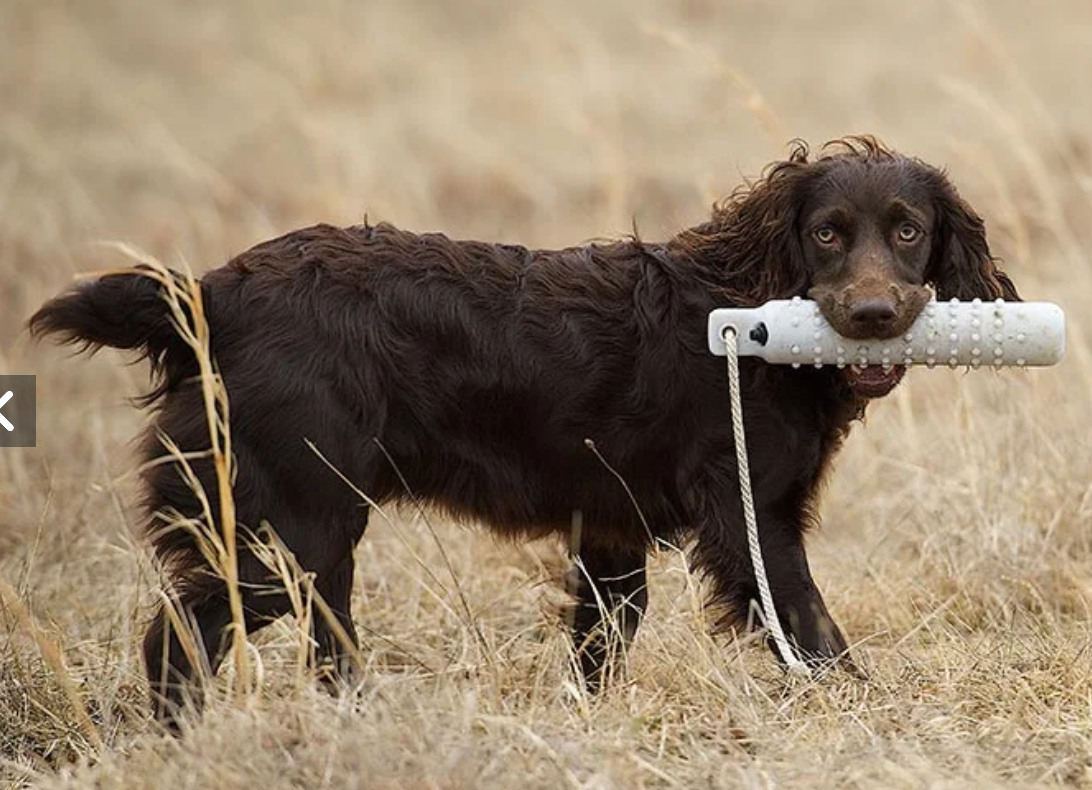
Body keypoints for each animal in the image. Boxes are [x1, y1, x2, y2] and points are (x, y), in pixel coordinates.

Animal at [31, 136, 1022, 729]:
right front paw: (873, 718)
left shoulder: (611, 536)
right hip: (287, 529)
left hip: (312, 532)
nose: (872, 315)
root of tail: (208, 293)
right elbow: (814, 634)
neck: (743, 306)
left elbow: (599, 648)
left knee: (322, 649)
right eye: (825, 234)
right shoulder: (754, 523)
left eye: (908, 231)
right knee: (178, 640)